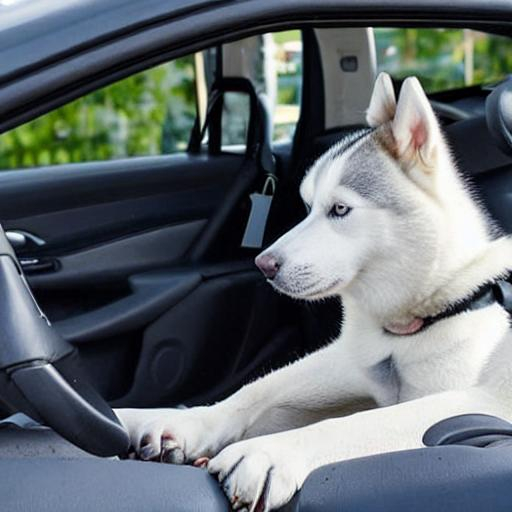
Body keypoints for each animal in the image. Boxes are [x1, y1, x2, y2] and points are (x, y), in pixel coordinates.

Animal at [118, 73, 512, 512]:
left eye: (339, 210)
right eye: (307, 206)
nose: (264, 264)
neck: (415, 322)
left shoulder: (480, 400)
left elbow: (362, 421)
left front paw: (270, 453)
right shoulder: (350, 363)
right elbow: (255, 390)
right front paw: (179, 420)